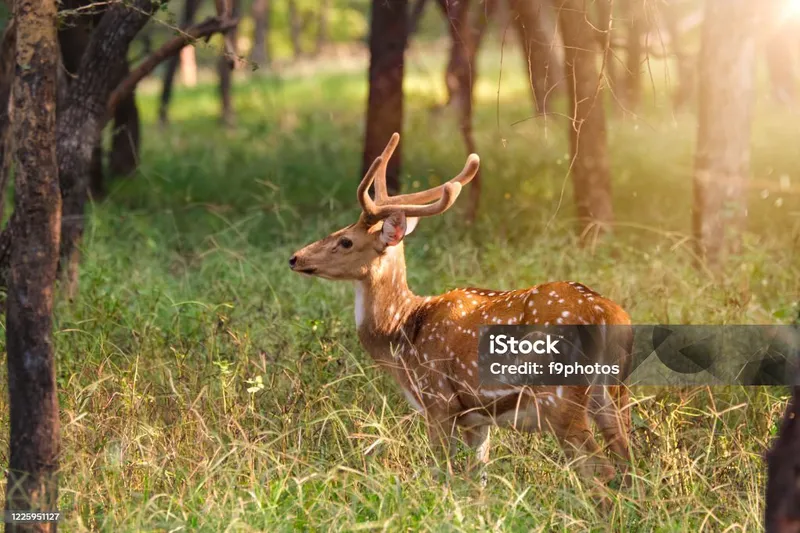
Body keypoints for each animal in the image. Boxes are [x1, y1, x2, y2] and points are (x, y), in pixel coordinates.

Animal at [290, 133, 636, 482]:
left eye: (346, 240)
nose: (295, 258)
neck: (402, 334)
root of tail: (607, 314)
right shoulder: (477, 418)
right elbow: (477, 478)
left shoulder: (439, 401)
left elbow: (440, 471)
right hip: (614, 394)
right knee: (628, 463)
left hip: (560, 398)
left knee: (601, 471)